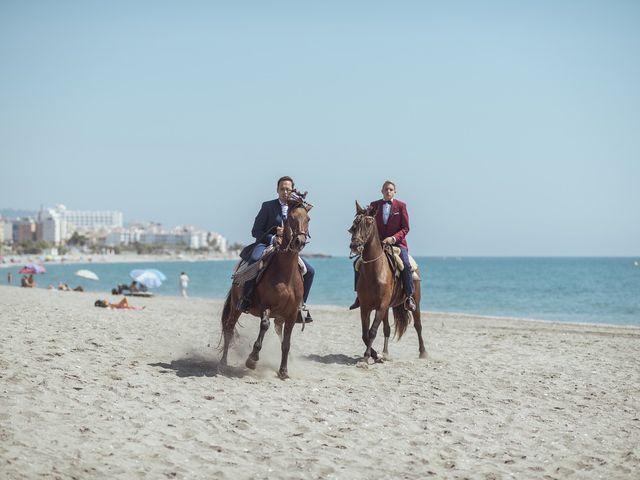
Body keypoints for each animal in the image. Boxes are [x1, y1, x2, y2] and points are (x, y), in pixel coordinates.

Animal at [218, 191, 312, 378]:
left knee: (277, 331)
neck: (285, 274)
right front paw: (252, 359)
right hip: (236, 307)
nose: (299, 242)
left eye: (308, 219)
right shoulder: (266, 306)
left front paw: (283, 371)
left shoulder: (291, 314)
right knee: (229, 328)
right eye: (291, 218)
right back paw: (223, 363)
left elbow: (286, 343)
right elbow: (264, 325)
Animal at [348, 201, 428, 362]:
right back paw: (385, 353)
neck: (374, 271)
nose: (354, 246)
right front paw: (375, 354)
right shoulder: (365, 307)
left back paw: (423, 352)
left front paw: (366, 358)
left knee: (418, 325)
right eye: (355, 223)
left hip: (415, 301)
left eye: (369, 222)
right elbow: (365, 334)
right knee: (387, 329)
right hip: (386, 308)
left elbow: (372, 331)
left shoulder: (381, 306)